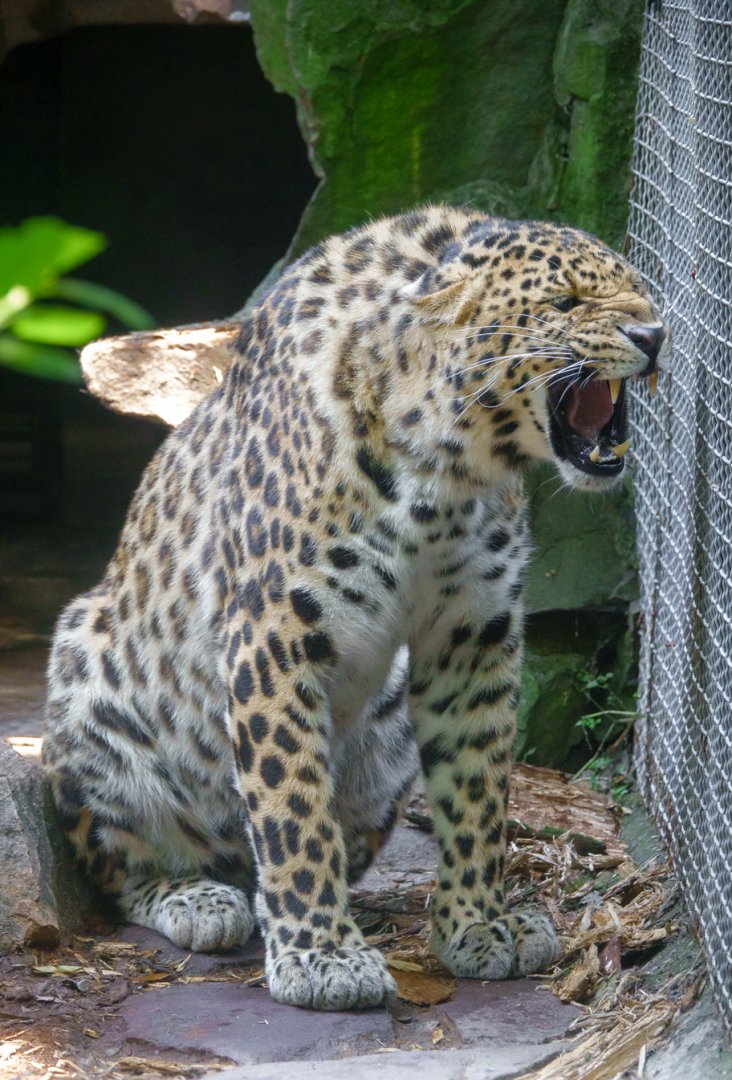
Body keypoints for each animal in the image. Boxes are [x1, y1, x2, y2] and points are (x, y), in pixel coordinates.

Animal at [43, 205, 669, 1011]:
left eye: (642, 293)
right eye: (566, 302)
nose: (654, 336)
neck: (448, 472)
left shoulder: (473, 629)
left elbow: (479, 788)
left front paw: (479, 924)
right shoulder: (274, 630)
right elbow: (290, 802)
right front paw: (321, 956)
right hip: (85, 673)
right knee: (127, 867)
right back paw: (202, 900)